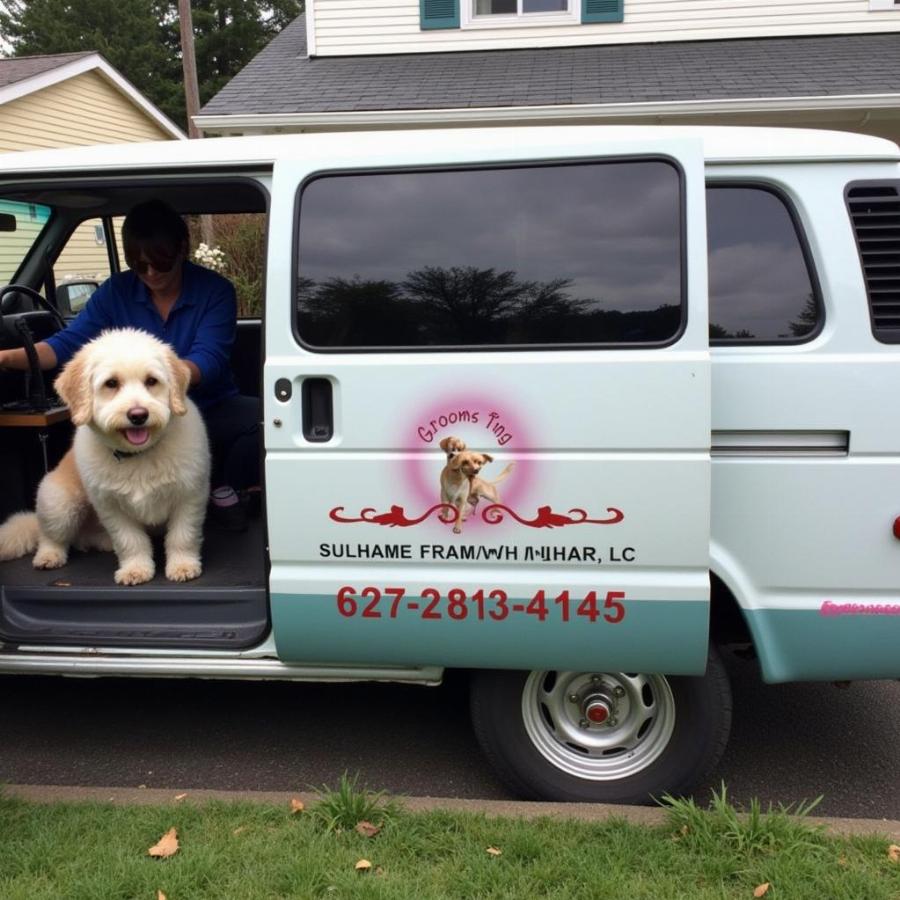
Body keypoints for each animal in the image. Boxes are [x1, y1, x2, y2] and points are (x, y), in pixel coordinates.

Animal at [0, 326, 210, 588]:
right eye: (111, 383)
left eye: (151, 381)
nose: (138, 415)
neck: (138, 456)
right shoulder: (111, 507)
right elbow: (130, 542)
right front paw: (135, 569)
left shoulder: (189, 498)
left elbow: (182, 536)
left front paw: (182, 565)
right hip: (58, 503)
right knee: (48, 536)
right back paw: (49, 556)